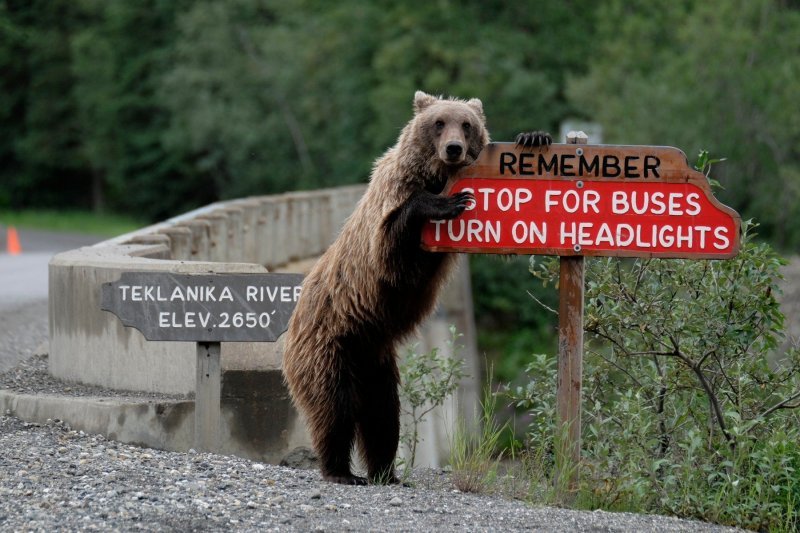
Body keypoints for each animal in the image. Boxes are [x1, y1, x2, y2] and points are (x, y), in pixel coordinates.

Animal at [282, 90, 552, 482]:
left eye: (466, 124)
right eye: (438, 123)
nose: (454, 148)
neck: (435, 175)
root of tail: (292, 323)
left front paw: (534, 137)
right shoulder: (389, 206)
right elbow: (392, 250)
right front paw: (447, 202)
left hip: (376, 362)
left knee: (383, 415)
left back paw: (385, 471)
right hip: (330, 344)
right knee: (334, 408)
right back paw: (340, 470)